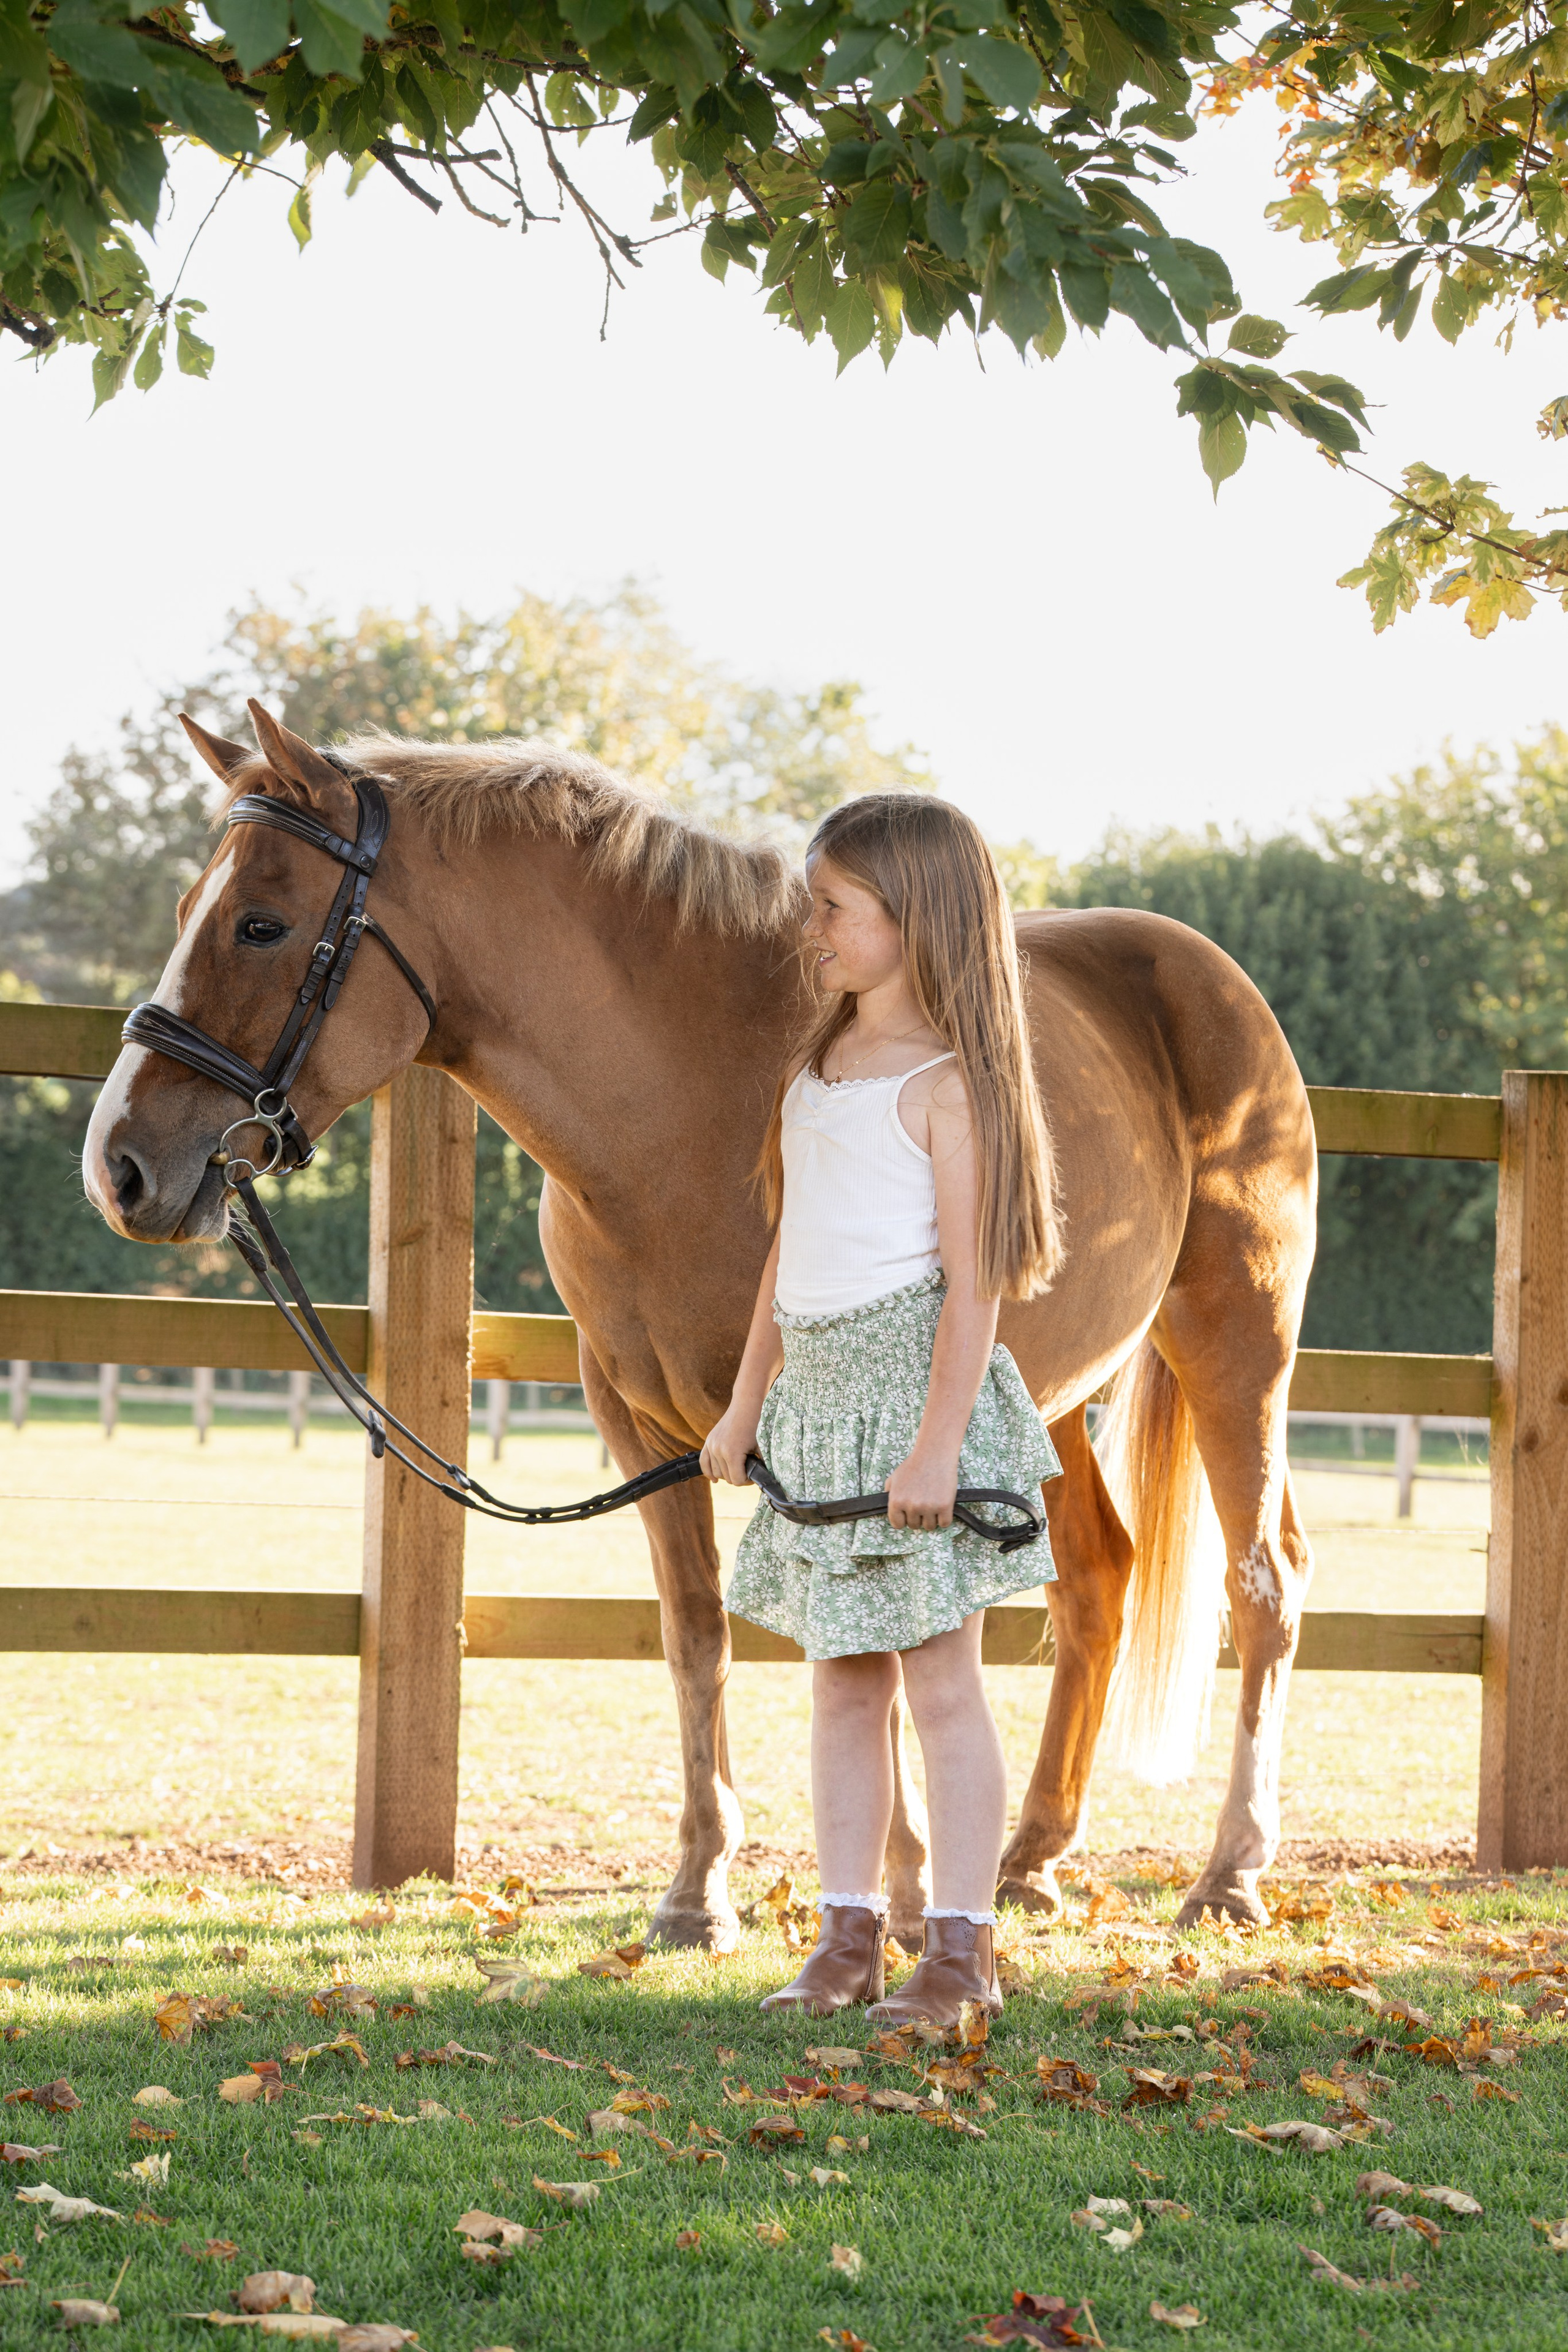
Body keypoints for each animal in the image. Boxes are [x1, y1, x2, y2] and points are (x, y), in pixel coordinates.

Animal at [82, 702, 1317, 1945]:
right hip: (1032, 1391)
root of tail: (1210, 980)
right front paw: (699, 1892)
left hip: (1237, 1343)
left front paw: (902, 1895)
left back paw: (1231, 1874)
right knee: (1099, 1580)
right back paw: (1028, 1862)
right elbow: (695, 1632)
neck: (690, 1099)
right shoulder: (644, 1426)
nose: (120, 1167)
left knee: (1264, 1584)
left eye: (262, 924)